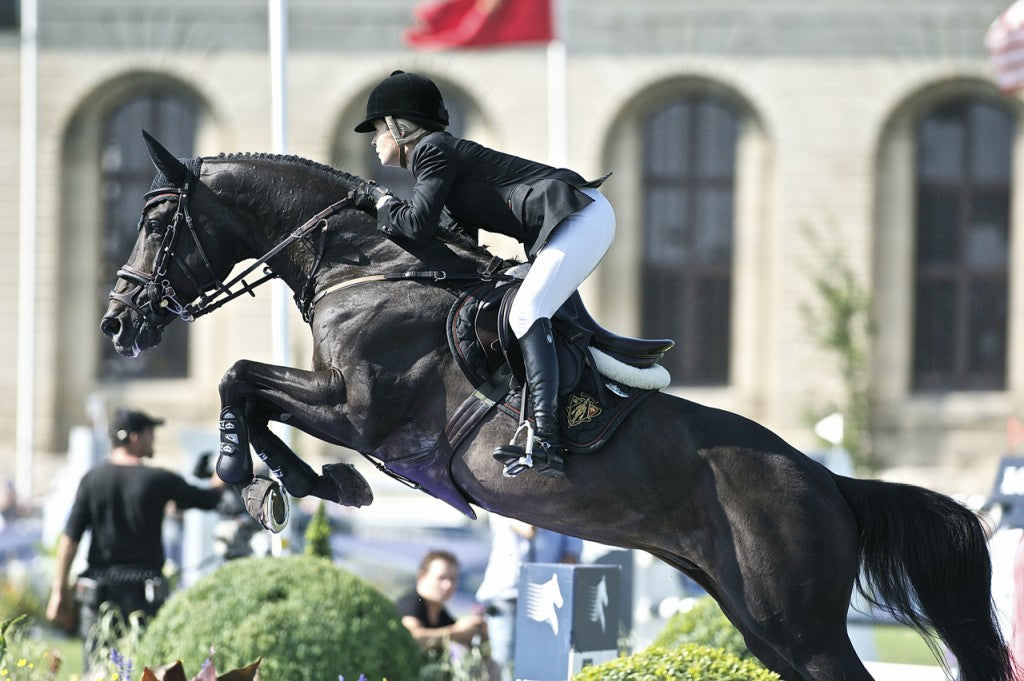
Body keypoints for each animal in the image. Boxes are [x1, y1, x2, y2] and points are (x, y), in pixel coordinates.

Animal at [99, 130, 1011, 675]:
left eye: (157, 220)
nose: (116, 321)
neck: (370, 266)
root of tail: (833, 485)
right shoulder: (346, 408)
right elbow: (249, 386)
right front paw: (292, 482)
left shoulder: (361, 411)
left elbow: (241, 379)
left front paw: (253, 472)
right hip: (761, 621)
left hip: (800, 625)